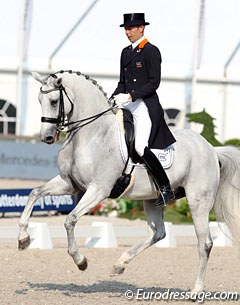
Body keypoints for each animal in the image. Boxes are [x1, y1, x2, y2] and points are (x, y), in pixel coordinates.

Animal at [17, 70, 240, 294]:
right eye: (39, 100)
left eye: (54, 101)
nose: (46, 137)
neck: (92, 134)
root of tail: (211, 149)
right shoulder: (69, 184)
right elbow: (34, 193)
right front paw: (23, 239)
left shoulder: (98, 190)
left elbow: (70, 220)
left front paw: (81, 261)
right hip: (152, 200)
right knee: (157, 233)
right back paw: (119, 265)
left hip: (198, 202)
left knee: (205, 243)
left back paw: (196, 290)